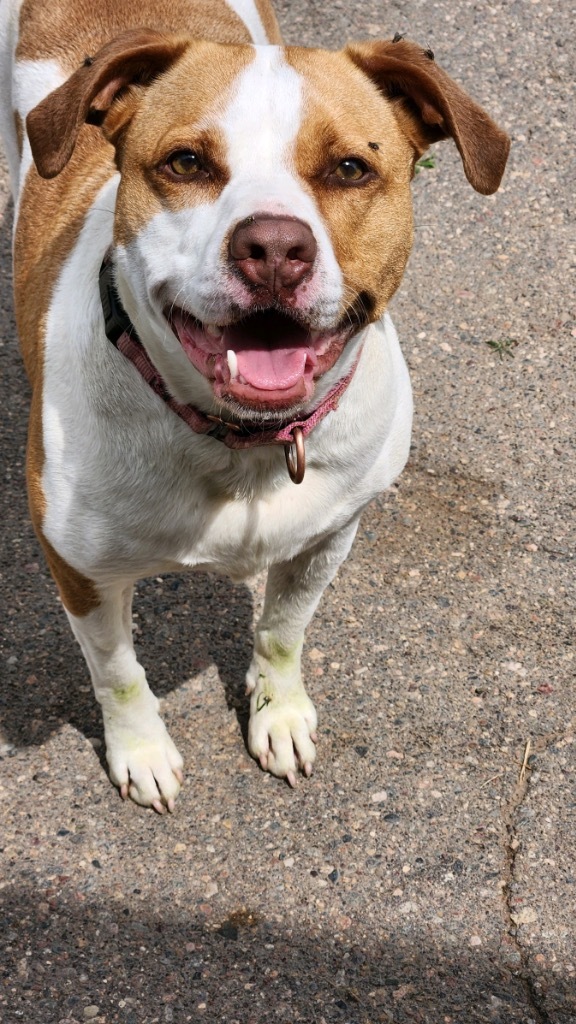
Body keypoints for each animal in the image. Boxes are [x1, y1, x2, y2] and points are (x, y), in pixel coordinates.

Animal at [2, 2, 508, 815]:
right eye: (186, 163)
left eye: (349, 169)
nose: (273, 247)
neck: (239, 444)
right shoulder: (81, 572)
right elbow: (117, 673)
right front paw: (141, 751)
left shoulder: (328, 534)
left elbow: (281, 630)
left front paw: (281, 714)